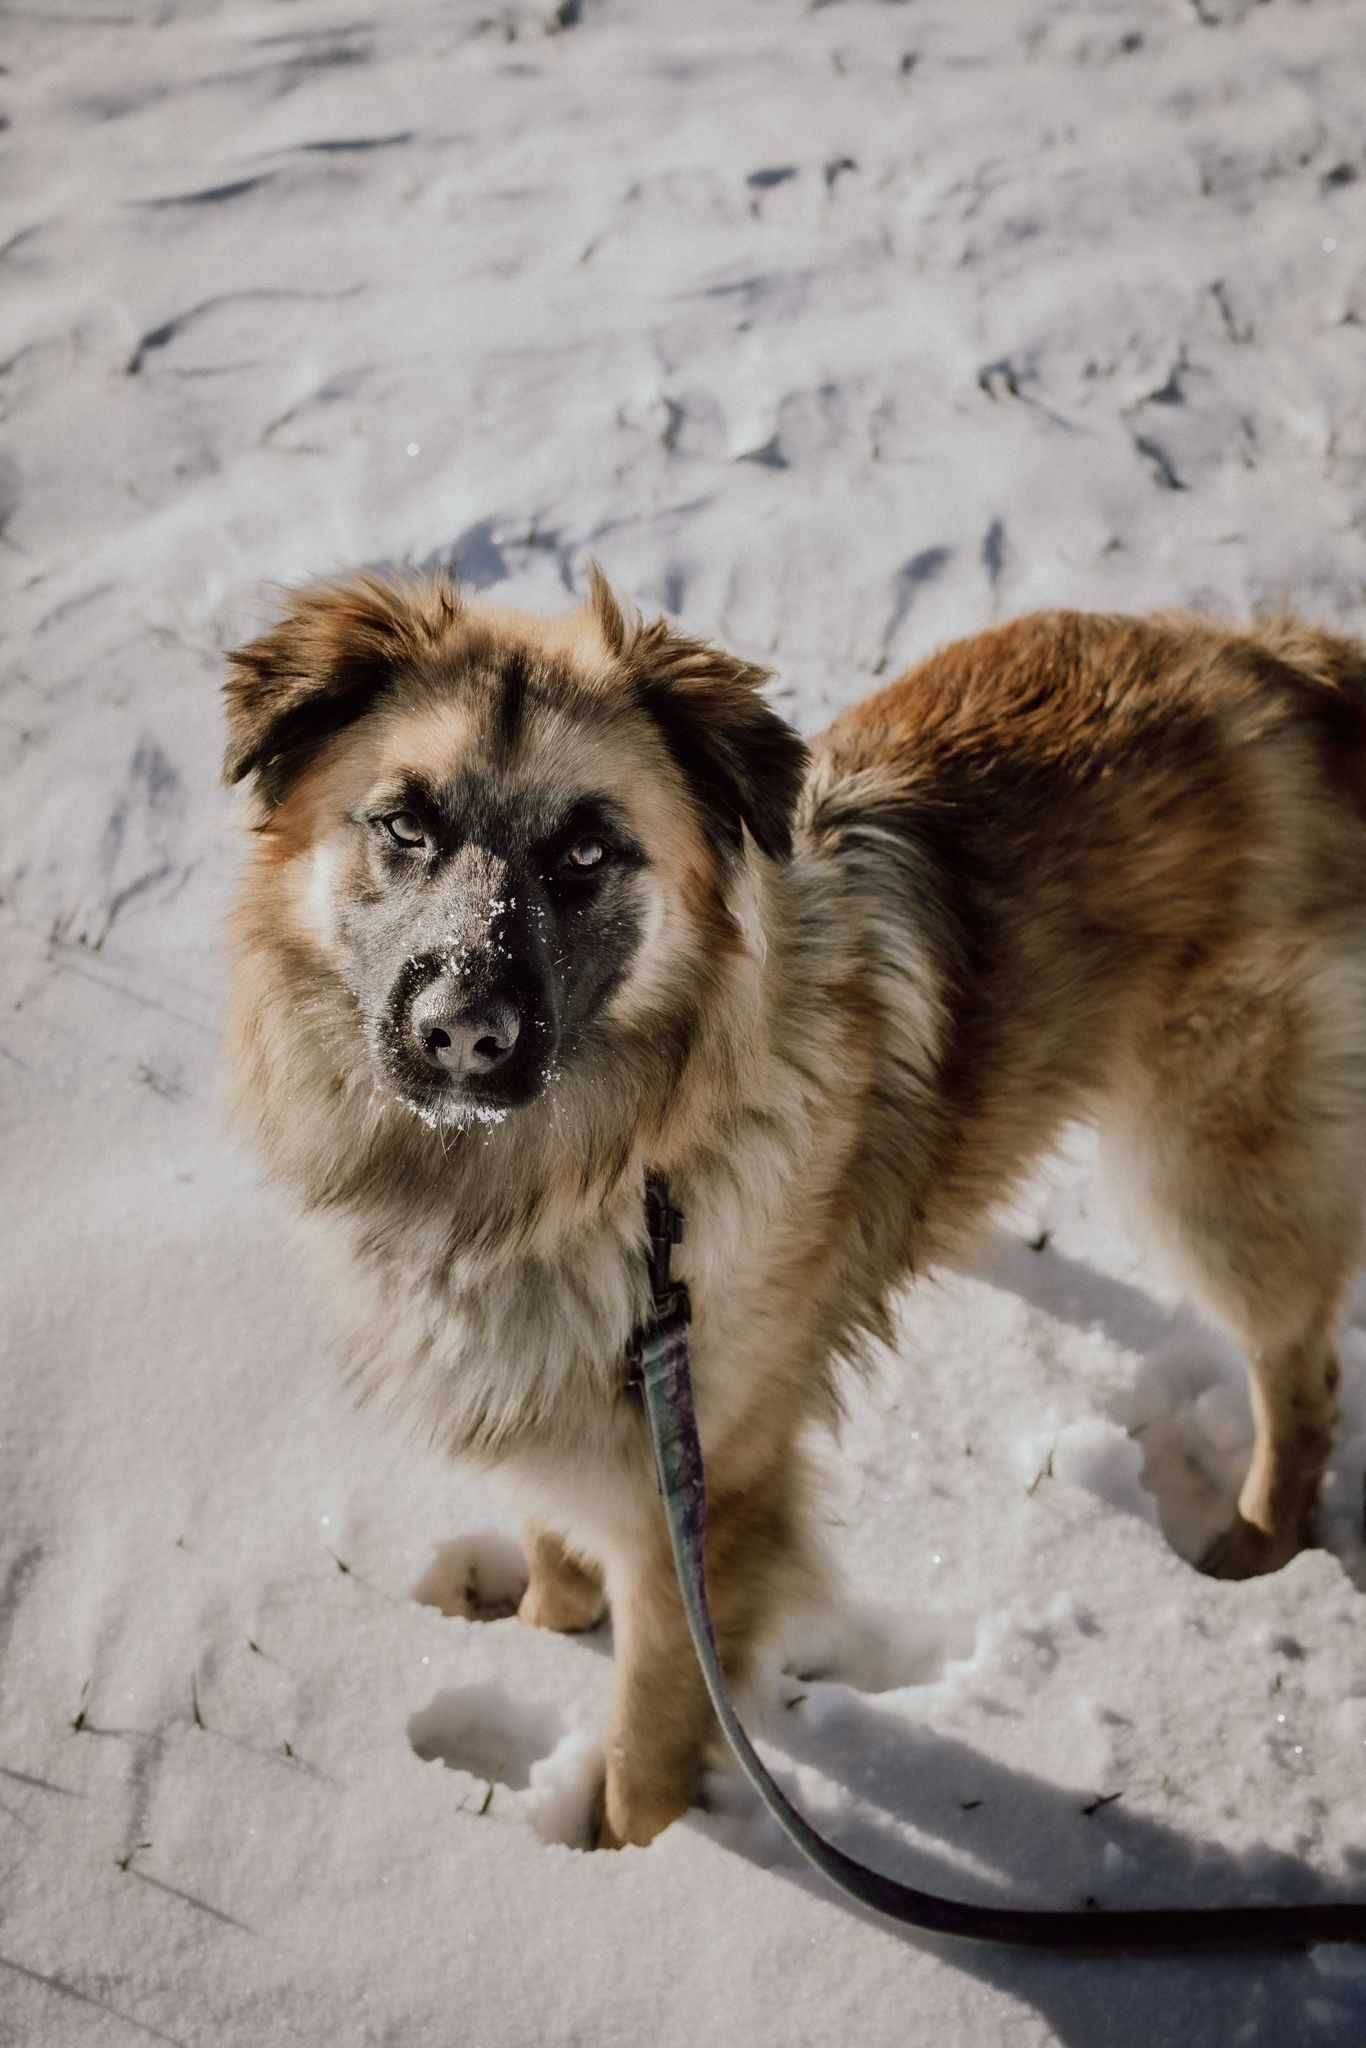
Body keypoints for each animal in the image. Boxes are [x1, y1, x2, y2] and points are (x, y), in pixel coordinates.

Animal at [224, 569, 1366, 1851]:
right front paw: (548, 1624)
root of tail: (1287, 658)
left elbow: (651, 1729)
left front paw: (631, 1854)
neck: (577, 1177)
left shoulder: (705, 1504)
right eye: (406, 827)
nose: (465, 1030)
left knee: (1298, 1360)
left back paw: (1260, 1540)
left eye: (586, 850)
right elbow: (553, 1536)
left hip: (1216, 1161)